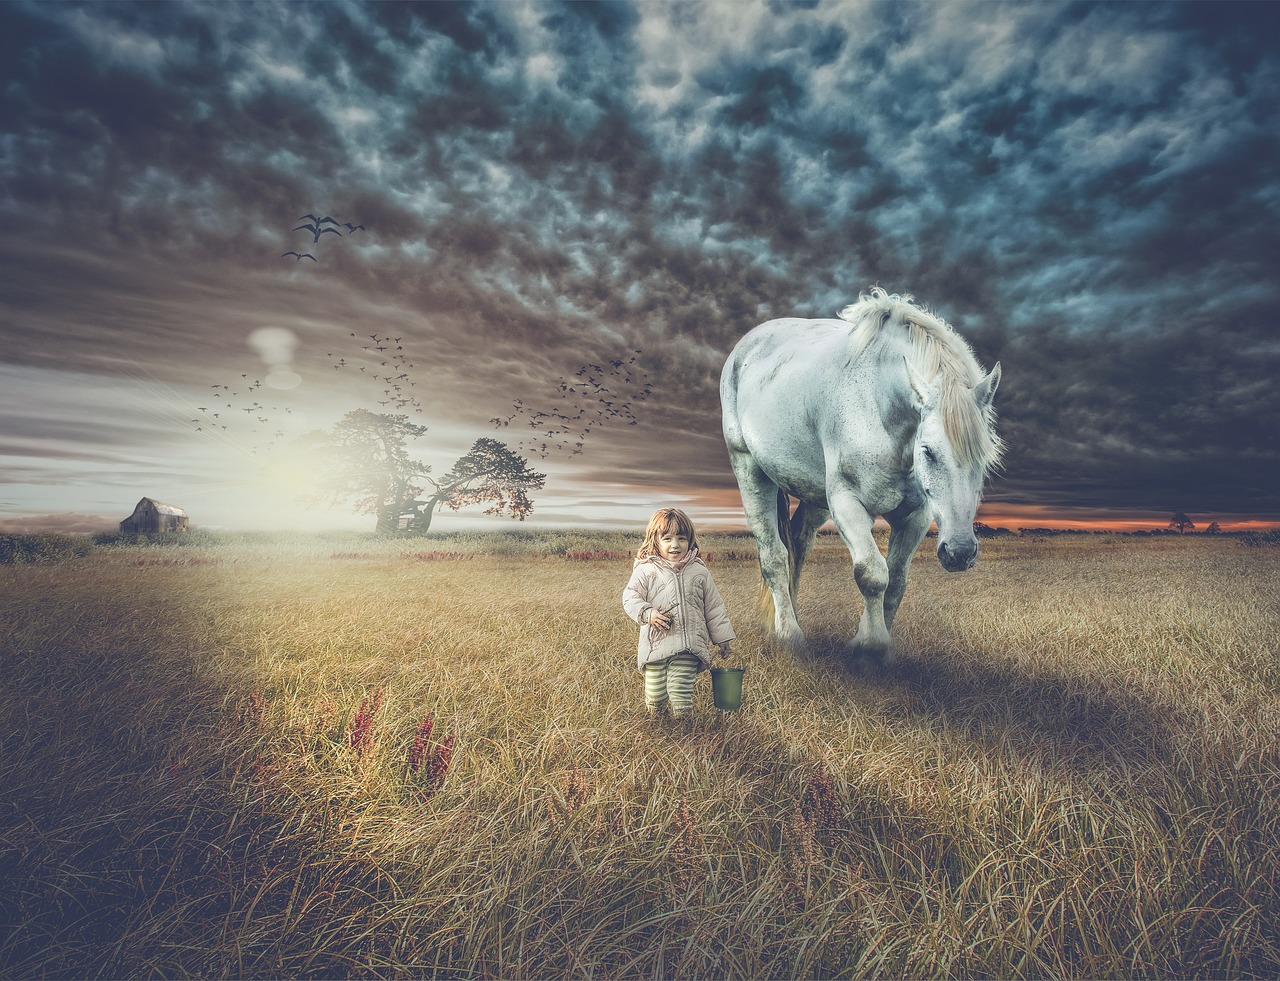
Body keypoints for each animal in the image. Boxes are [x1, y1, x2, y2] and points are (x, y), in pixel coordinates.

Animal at [721, 288, 998, 665]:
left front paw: (880, 648)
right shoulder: (848, 504)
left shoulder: (915, 516)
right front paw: (869, 646)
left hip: (814, 495)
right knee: (774, 557)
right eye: (928, 450)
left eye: (983, 457)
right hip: (750, 471)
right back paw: (789, 635)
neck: (880, 407)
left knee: (798, 546)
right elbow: (872, 574)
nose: (960, 553)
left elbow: (896, 582)